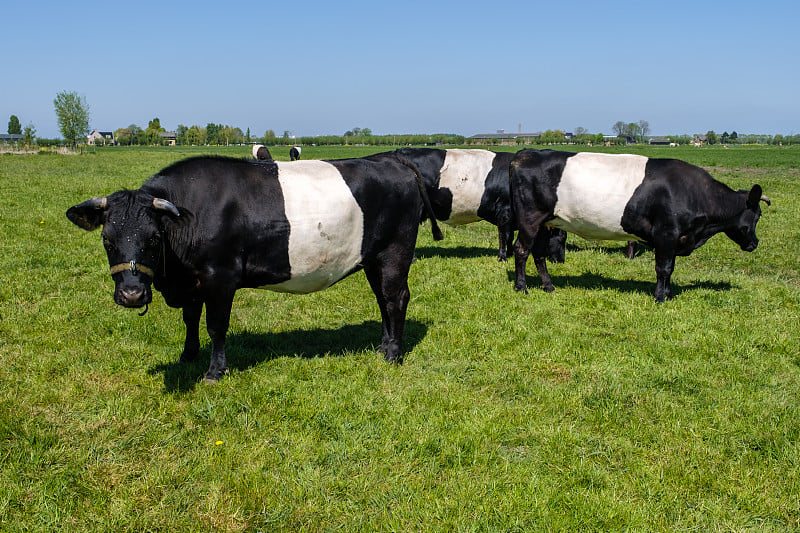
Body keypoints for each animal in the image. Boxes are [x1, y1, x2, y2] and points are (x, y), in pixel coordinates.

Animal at [67, 155, 444, 382]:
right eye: (107, 239)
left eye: (153, 237)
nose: (131, 294)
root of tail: (391, 159)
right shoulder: (192, 281)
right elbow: (190, 319)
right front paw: (187, 355)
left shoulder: (220, 277)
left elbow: (216, 326)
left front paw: (215, 372)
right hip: (372, 258)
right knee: (382, 299)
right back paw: (383, 346)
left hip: (396, 252)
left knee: (396, 298)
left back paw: (393, 355)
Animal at [366, 148, 564, 262]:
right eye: (562, 236)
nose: (561, 260)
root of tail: (397, 152)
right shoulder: (505, 210)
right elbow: (504, 235)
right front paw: (503, 257)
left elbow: (508, 236)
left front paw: (507, 254)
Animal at [512, 150, 768, 302]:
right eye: (757, 216)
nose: (754, 243)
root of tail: (526, 154)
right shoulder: (666, 233)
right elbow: (663, 268)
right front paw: (660, 298)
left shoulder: (675, 238)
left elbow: (670, 268)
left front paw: (668, 295)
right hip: (530, 219)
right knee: (521, 250)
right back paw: (521, 287)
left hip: (545, 222)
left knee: (538, 253)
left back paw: (548, 286)